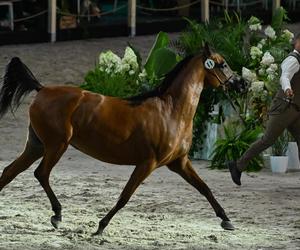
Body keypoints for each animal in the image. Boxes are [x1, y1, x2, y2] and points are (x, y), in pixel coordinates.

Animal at [0, 44, 243, 235]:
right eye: (223, 64)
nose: (242, 84)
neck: (171, 111)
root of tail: (42, 89)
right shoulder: (148, 163)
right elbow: (125, 196)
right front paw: (100, 226)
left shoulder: (179, 162)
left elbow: (204, 188)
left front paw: (227, 220)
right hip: (56, 145)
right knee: (40, 173)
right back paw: (57, 215)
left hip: (37, 146)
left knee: (9, 172)